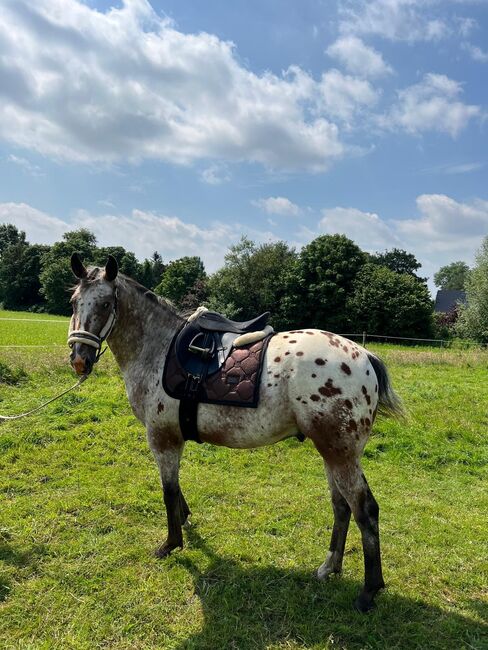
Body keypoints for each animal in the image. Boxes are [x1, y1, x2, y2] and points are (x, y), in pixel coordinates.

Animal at [68, 251, 404, 612]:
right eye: (73, 302)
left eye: (105, 304)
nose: (79, 359)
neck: (157, 349)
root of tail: (364, 356)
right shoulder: (171, 439)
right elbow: (176, 489)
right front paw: (184, 519)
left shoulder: (162, 438)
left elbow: (168, 491)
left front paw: (171, 543)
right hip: (332, 454)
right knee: (341, 506)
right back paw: (330, 566)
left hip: (341, 455)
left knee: (365, 510)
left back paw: (369, 591)